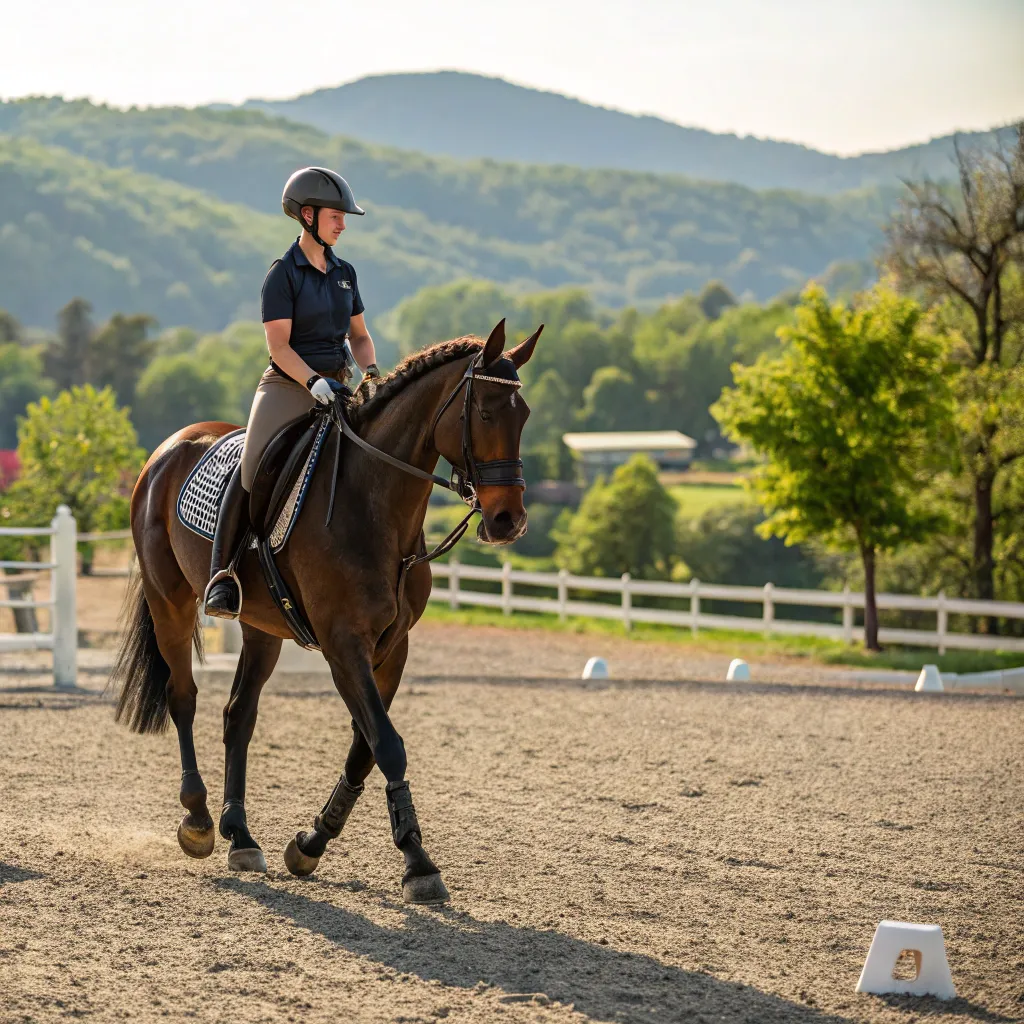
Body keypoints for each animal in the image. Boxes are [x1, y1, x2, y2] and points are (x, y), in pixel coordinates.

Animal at [110, 321, 544, 905]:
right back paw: (198, 821)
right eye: (485, 413)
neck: (377, 506)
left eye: (524, 415)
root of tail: (170, 447)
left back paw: (240, 836)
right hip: (169, 602)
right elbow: (387, 744)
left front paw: (311, 842)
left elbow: (366, 748)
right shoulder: (343, 645)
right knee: (184, 698)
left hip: (261, 628)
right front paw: (418, 864)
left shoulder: (392, 648)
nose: (507, 521)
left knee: (238, 715)